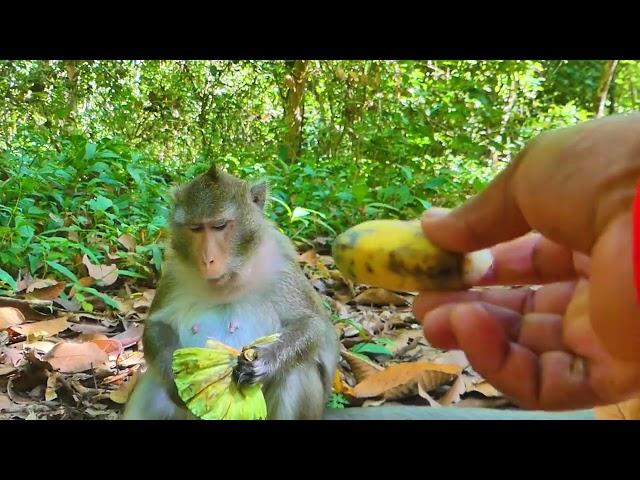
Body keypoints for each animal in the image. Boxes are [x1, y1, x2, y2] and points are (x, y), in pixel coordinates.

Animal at [121, 163, 340, 418]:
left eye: (219, 226)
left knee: (297, 372)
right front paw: (174, 379)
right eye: (196, 228)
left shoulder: (281, 262)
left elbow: (312, 325)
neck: (231, 276)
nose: (207, 260)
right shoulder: (174, 270)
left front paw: (266, 360)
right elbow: (158, 324)